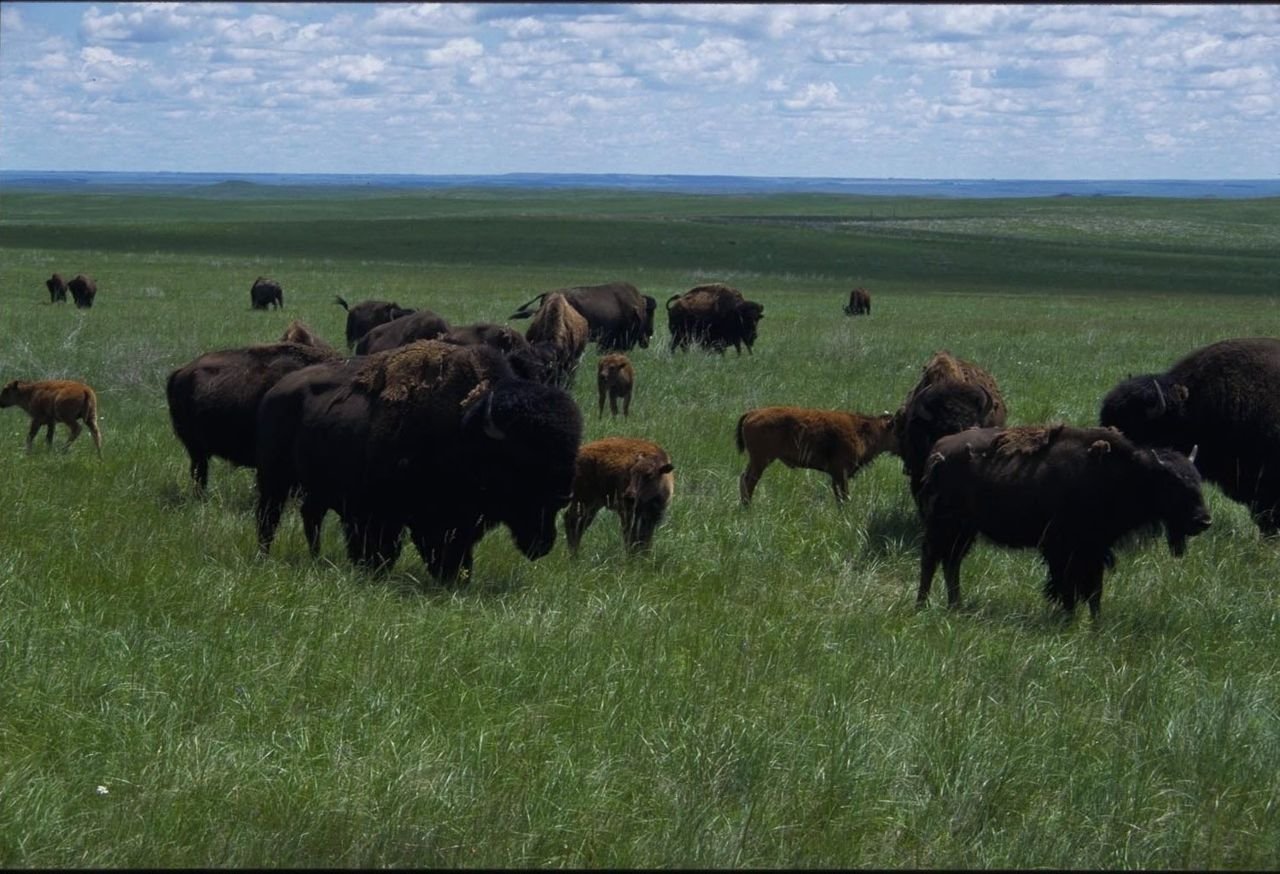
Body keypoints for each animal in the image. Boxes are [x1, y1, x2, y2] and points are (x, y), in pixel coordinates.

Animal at [254, 340, 583, 581]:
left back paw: (315, 557)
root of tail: (276, 391)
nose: (562, 495)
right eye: (524, 457)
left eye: (569, 450)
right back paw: (266, 557)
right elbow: (384, 547)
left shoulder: (455, 522)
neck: (466, 429)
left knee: (311, 516)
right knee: (269, 518)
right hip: (274, 479)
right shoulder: (382, 514)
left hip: (315, 488)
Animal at [916, 424, 1211, 619]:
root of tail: (939, 448)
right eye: (1174, 485)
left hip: (964, 531)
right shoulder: (1064, 550)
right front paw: (1070, 621)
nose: (1203, 521)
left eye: (1198, 480)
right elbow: (1068, 587)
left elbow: (1094, 590)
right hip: (944, 526)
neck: (1128, 475)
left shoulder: (1093, 550)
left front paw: (1095, 625)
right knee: (931, 560)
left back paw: (956, 606)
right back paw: (923, 604)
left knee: (951, 562)